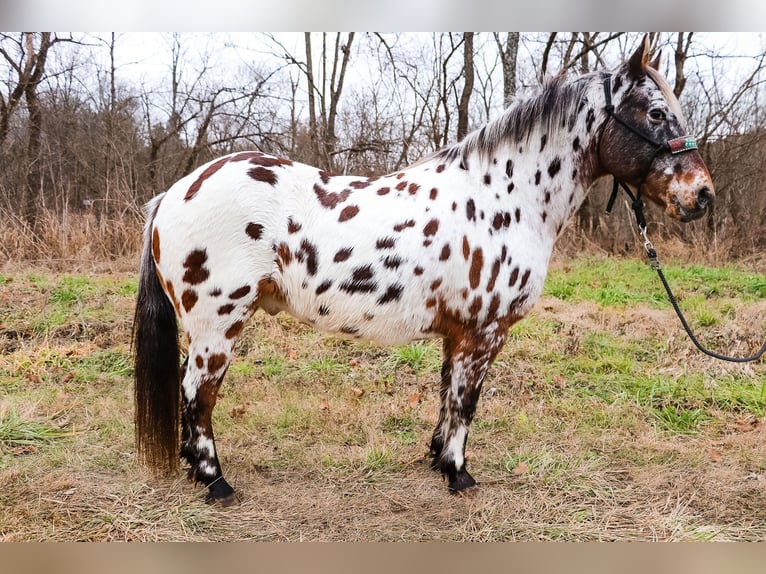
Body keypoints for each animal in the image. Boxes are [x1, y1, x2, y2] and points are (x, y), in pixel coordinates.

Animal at [132, 36, 712, 506]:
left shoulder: (458, 333)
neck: (503, 198)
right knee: (198, 394)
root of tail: (174, 192)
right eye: (655, 113)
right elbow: (466, 401)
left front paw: (437, 459)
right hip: (218, 324)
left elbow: (447, 396)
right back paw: (215, 481)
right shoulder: (484, 332)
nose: (702, 195)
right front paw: (458, 474)